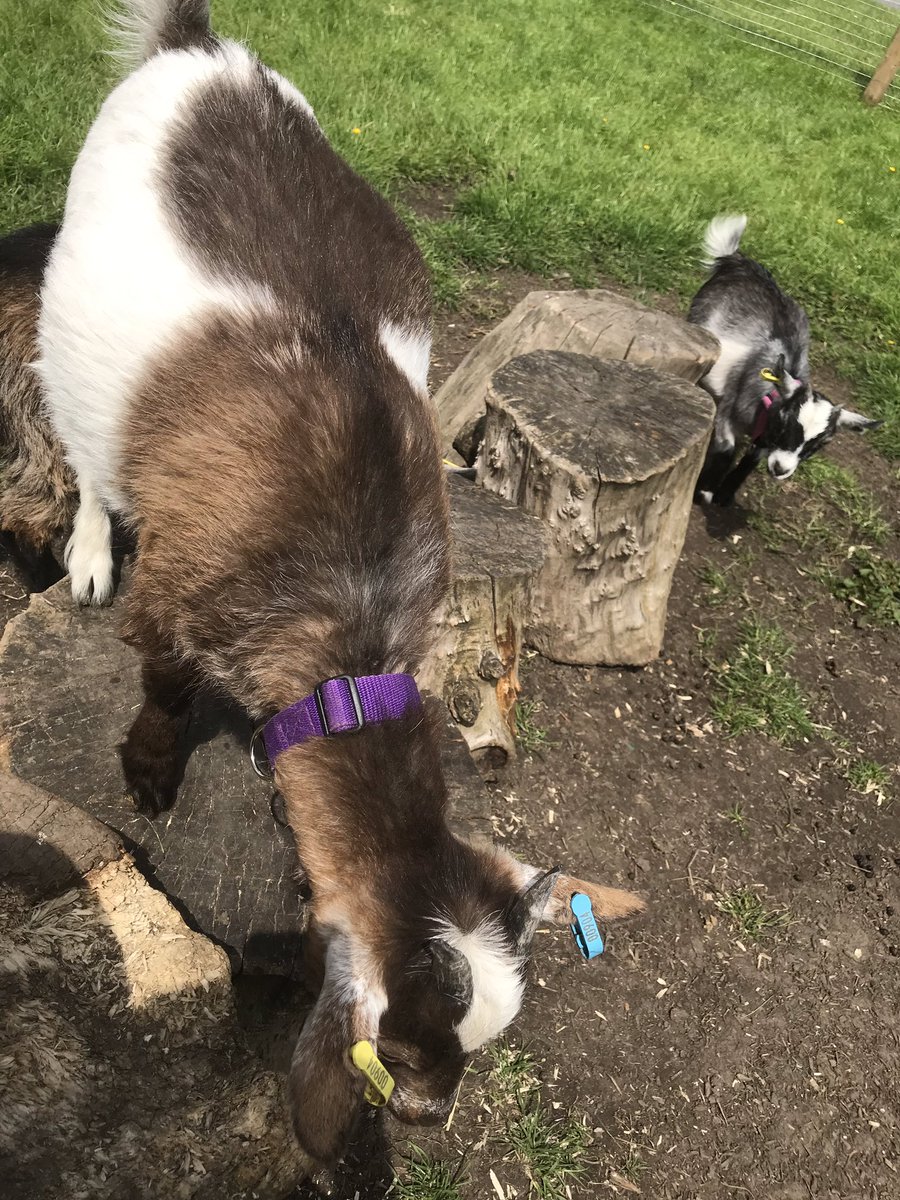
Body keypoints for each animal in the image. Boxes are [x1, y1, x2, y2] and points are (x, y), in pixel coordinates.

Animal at [34, 1, 643, 1164]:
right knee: (83, 446)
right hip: (70, 319)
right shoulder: (178, 599)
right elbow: (163, 685)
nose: (428, 1118)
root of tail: (205, 53)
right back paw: (86, 550)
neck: (346, 638)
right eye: (400, 1051)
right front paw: (151, 775)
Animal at [687, 214, 880, 506]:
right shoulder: (729, 410)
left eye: (817, 445)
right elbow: (725, 449)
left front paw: (725, 493)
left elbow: (752, 458)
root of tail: (739, 262)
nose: (781, 469)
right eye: (787, 425)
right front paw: (704, 491)